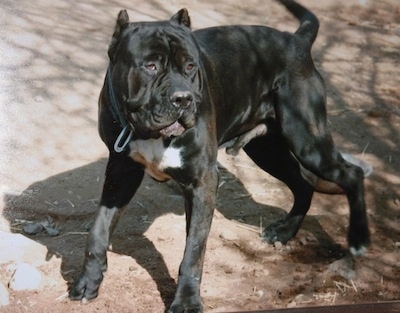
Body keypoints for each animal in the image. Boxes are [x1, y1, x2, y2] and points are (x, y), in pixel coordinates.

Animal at [70, 1, 370, 310]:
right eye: (150, 66)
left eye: (191, 66)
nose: (183, 98)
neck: (148, 133)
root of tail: (296, 40)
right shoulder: (120, 173)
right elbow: (98, 229)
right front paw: (88, 281)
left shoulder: (202, 183)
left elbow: (193, 250)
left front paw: (187, 301)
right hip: (267, 151)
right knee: (304, 183)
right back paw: (285, 231)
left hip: (306, 140)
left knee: (352, 174)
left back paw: (358, 241)